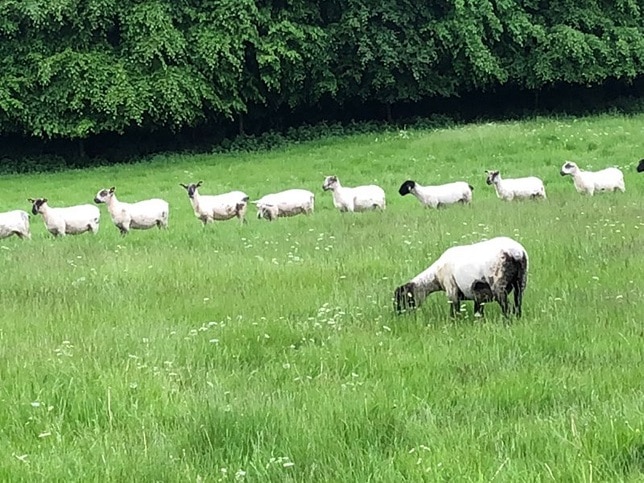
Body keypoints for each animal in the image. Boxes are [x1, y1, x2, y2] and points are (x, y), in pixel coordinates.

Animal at [394, 236, 528, 318]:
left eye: (403, 297)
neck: (435, 277)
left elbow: (455, 311)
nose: (398, 313)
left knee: (507, 307)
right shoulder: (478, 295)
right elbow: (478, 312)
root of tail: (516, 253)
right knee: (518, 304)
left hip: (498, 284)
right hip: (521, 281)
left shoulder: (451, 289)